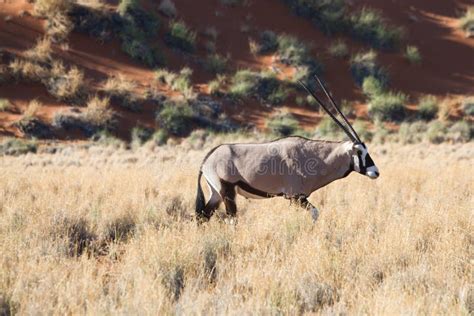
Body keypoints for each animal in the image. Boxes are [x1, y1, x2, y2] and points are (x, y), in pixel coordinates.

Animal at [194, 75, 380, 222]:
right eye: (359, 152)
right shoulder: (296, 196)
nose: (375, 172)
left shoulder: (296, 198)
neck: (314, 156)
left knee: (202, 216)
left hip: (216, 193)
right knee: (230, 219)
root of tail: (206, 160)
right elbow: (315, 213)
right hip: (227, 191)